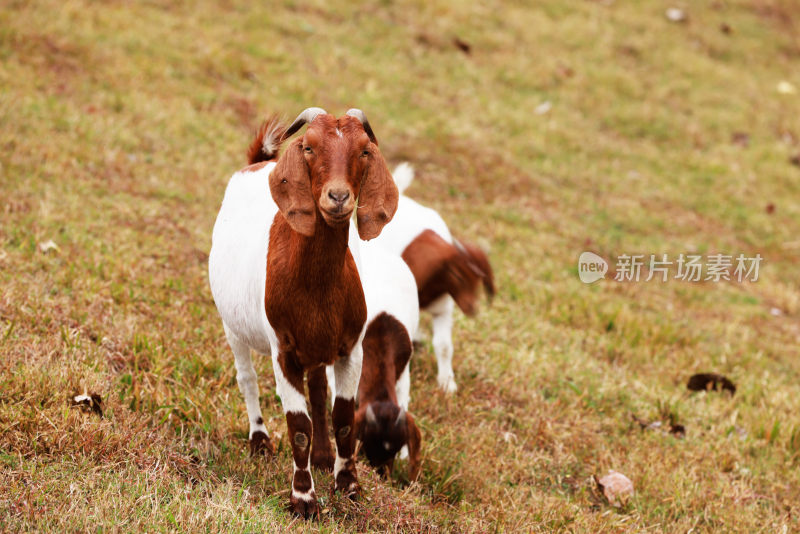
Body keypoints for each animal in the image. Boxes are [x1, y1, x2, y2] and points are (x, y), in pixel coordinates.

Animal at [208, 109, 398, 520]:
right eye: (309, 147)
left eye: (364, 150)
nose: (338, 197)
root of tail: (258, 162)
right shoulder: (284, 352)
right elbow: (298, 426)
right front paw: (304, 500)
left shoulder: (350, 349)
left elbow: (343, 418)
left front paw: (348, 485)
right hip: (233, 327)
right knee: (247, 379)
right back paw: (260, 441)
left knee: (319, 388)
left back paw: (324, 456)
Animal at [374, 165, 494, 396]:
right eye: (457, 275)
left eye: (479, 280)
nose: (472, 309)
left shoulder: (444, 308)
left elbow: (444, 346)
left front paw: (447, 383)